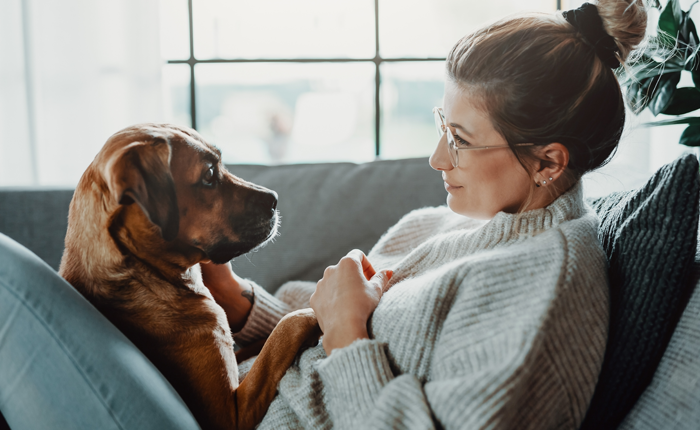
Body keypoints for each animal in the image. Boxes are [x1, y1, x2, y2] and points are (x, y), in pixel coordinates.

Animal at [58, 122, 322, 428]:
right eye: (208, 175)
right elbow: (284, 330)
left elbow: (264, 341)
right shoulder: (229, 414)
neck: (146, 274)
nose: (275, 200)